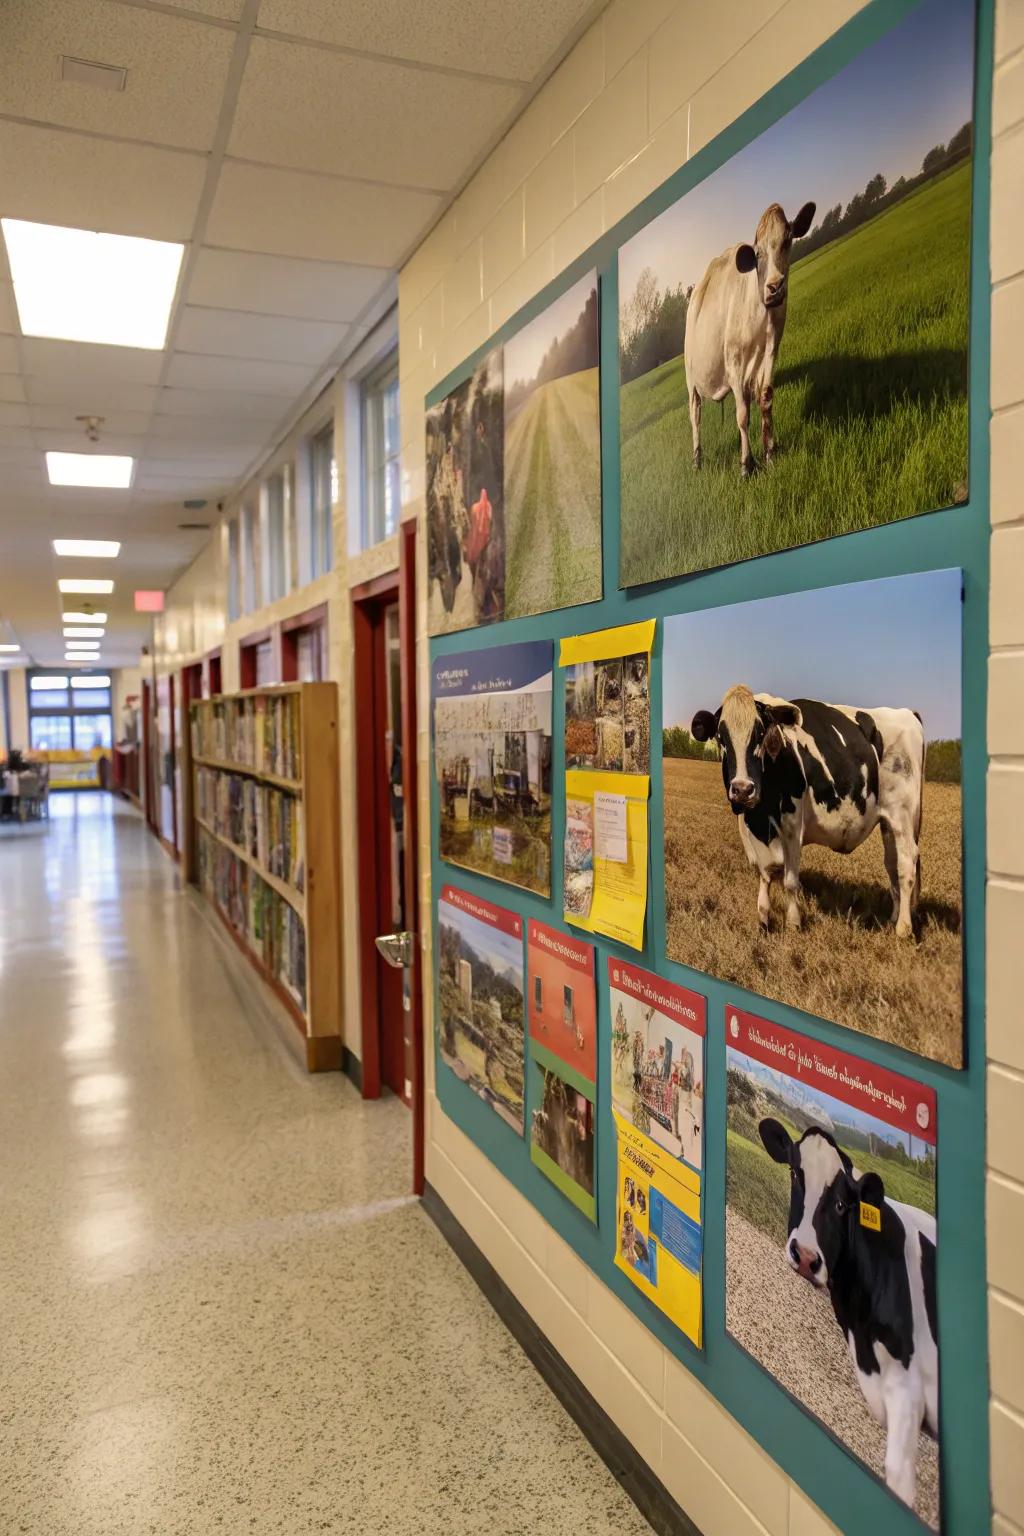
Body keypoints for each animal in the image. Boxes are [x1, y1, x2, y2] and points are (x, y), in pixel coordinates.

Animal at [684, 201, 822, 473]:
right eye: (757, 254)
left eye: (787, 240)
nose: (775, 287)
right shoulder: (734, 363)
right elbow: (742, 415)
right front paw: (746, 464)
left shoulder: (771, 349)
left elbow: (765, 398)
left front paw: (769, 453)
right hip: (690, 379)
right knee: (695, 415)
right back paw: (696, 460)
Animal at [693, 688, 927, 933]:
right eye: (721, 738)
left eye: (760, 734)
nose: (742, 789)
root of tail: (906, 713)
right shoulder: (755, 828)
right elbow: (765, 874)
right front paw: (764, 920)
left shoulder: (792, 825)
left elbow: (790, 880)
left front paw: (794, 922)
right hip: (888, 822)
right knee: (892, 863)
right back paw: (894, 918)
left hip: (904, 815)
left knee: (906, 865)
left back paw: (903, 928)